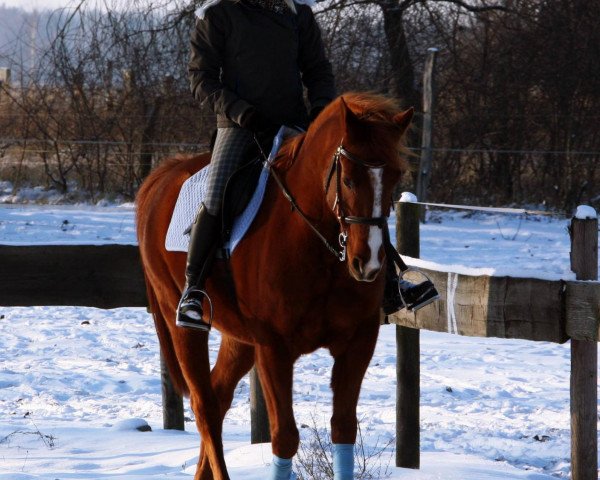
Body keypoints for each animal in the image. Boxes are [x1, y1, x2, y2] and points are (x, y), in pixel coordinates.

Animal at [135, 92, 412, 478]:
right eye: (349, 180)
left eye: (396, 177)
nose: (368, 262)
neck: (319, 249)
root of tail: (160, 177)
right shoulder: (274, 348)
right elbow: (284, 437)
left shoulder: (358, 342)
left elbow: (343, 430)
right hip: (183, 324)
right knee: (206, 407)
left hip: (239, 338)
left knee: (218, 397)